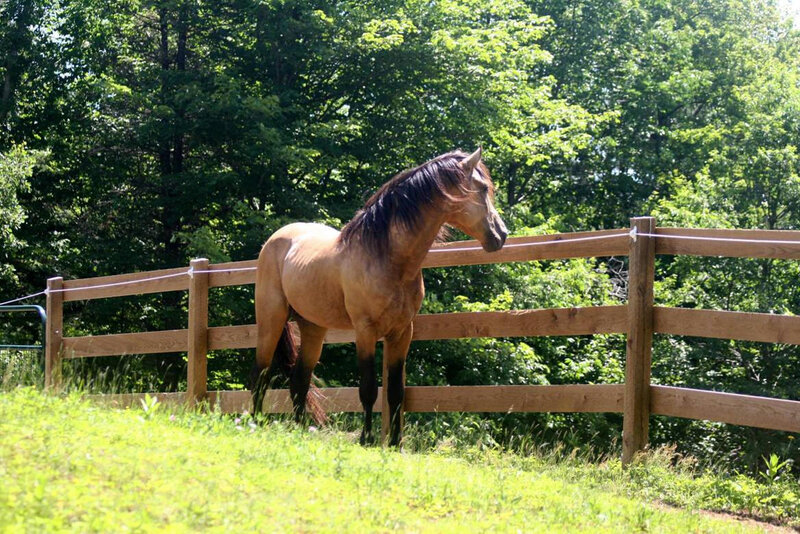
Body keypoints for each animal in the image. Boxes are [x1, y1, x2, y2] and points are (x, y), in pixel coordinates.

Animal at [251, 147, 508, 446]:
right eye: (482, 188)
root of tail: (276, 238)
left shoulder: (402, 332)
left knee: (299, 381)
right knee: (261, 374)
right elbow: (369, 389)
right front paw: (366, 438)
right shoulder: (365, 331)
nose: (501, 234)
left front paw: (395, 443)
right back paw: (253, 421)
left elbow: (396, 391)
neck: (387, 258)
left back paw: (301, 430)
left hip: (313, 327)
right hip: (271, 319)